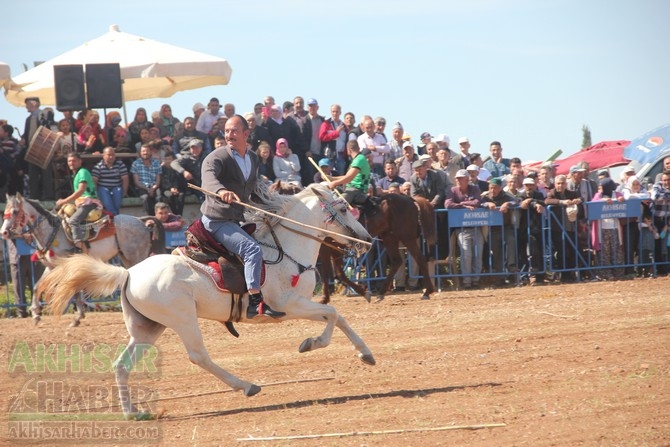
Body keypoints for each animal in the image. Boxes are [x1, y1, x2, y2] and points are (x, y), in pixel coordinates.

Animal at [1, 194, 165, 328]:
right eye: (5, 212)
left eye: (14, 211)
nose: (4, 232)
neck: (53, 232)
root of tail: (140, 220)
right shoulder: (51, 267)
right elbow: (37, 286)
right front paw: (36, 314)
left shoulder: (65, 267)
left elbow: (73, 290)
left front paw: (77, 317)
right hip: (127, 258)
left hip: (136, 256)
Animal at [36, 183, 376, 420]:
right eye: (345, 208)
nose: (367, 240)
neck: (286, 249)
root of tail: (128, 273)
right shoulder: (290, 304)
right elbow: (333, 314)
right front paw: (313, 343)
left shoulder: (301, 303)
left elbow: (337, 317)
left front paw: (365, 353)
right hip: (183, 320)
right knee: (198, 356)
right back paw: (246, 385)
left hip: (148, 328)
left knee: (122, 366)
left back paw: (133, 412)